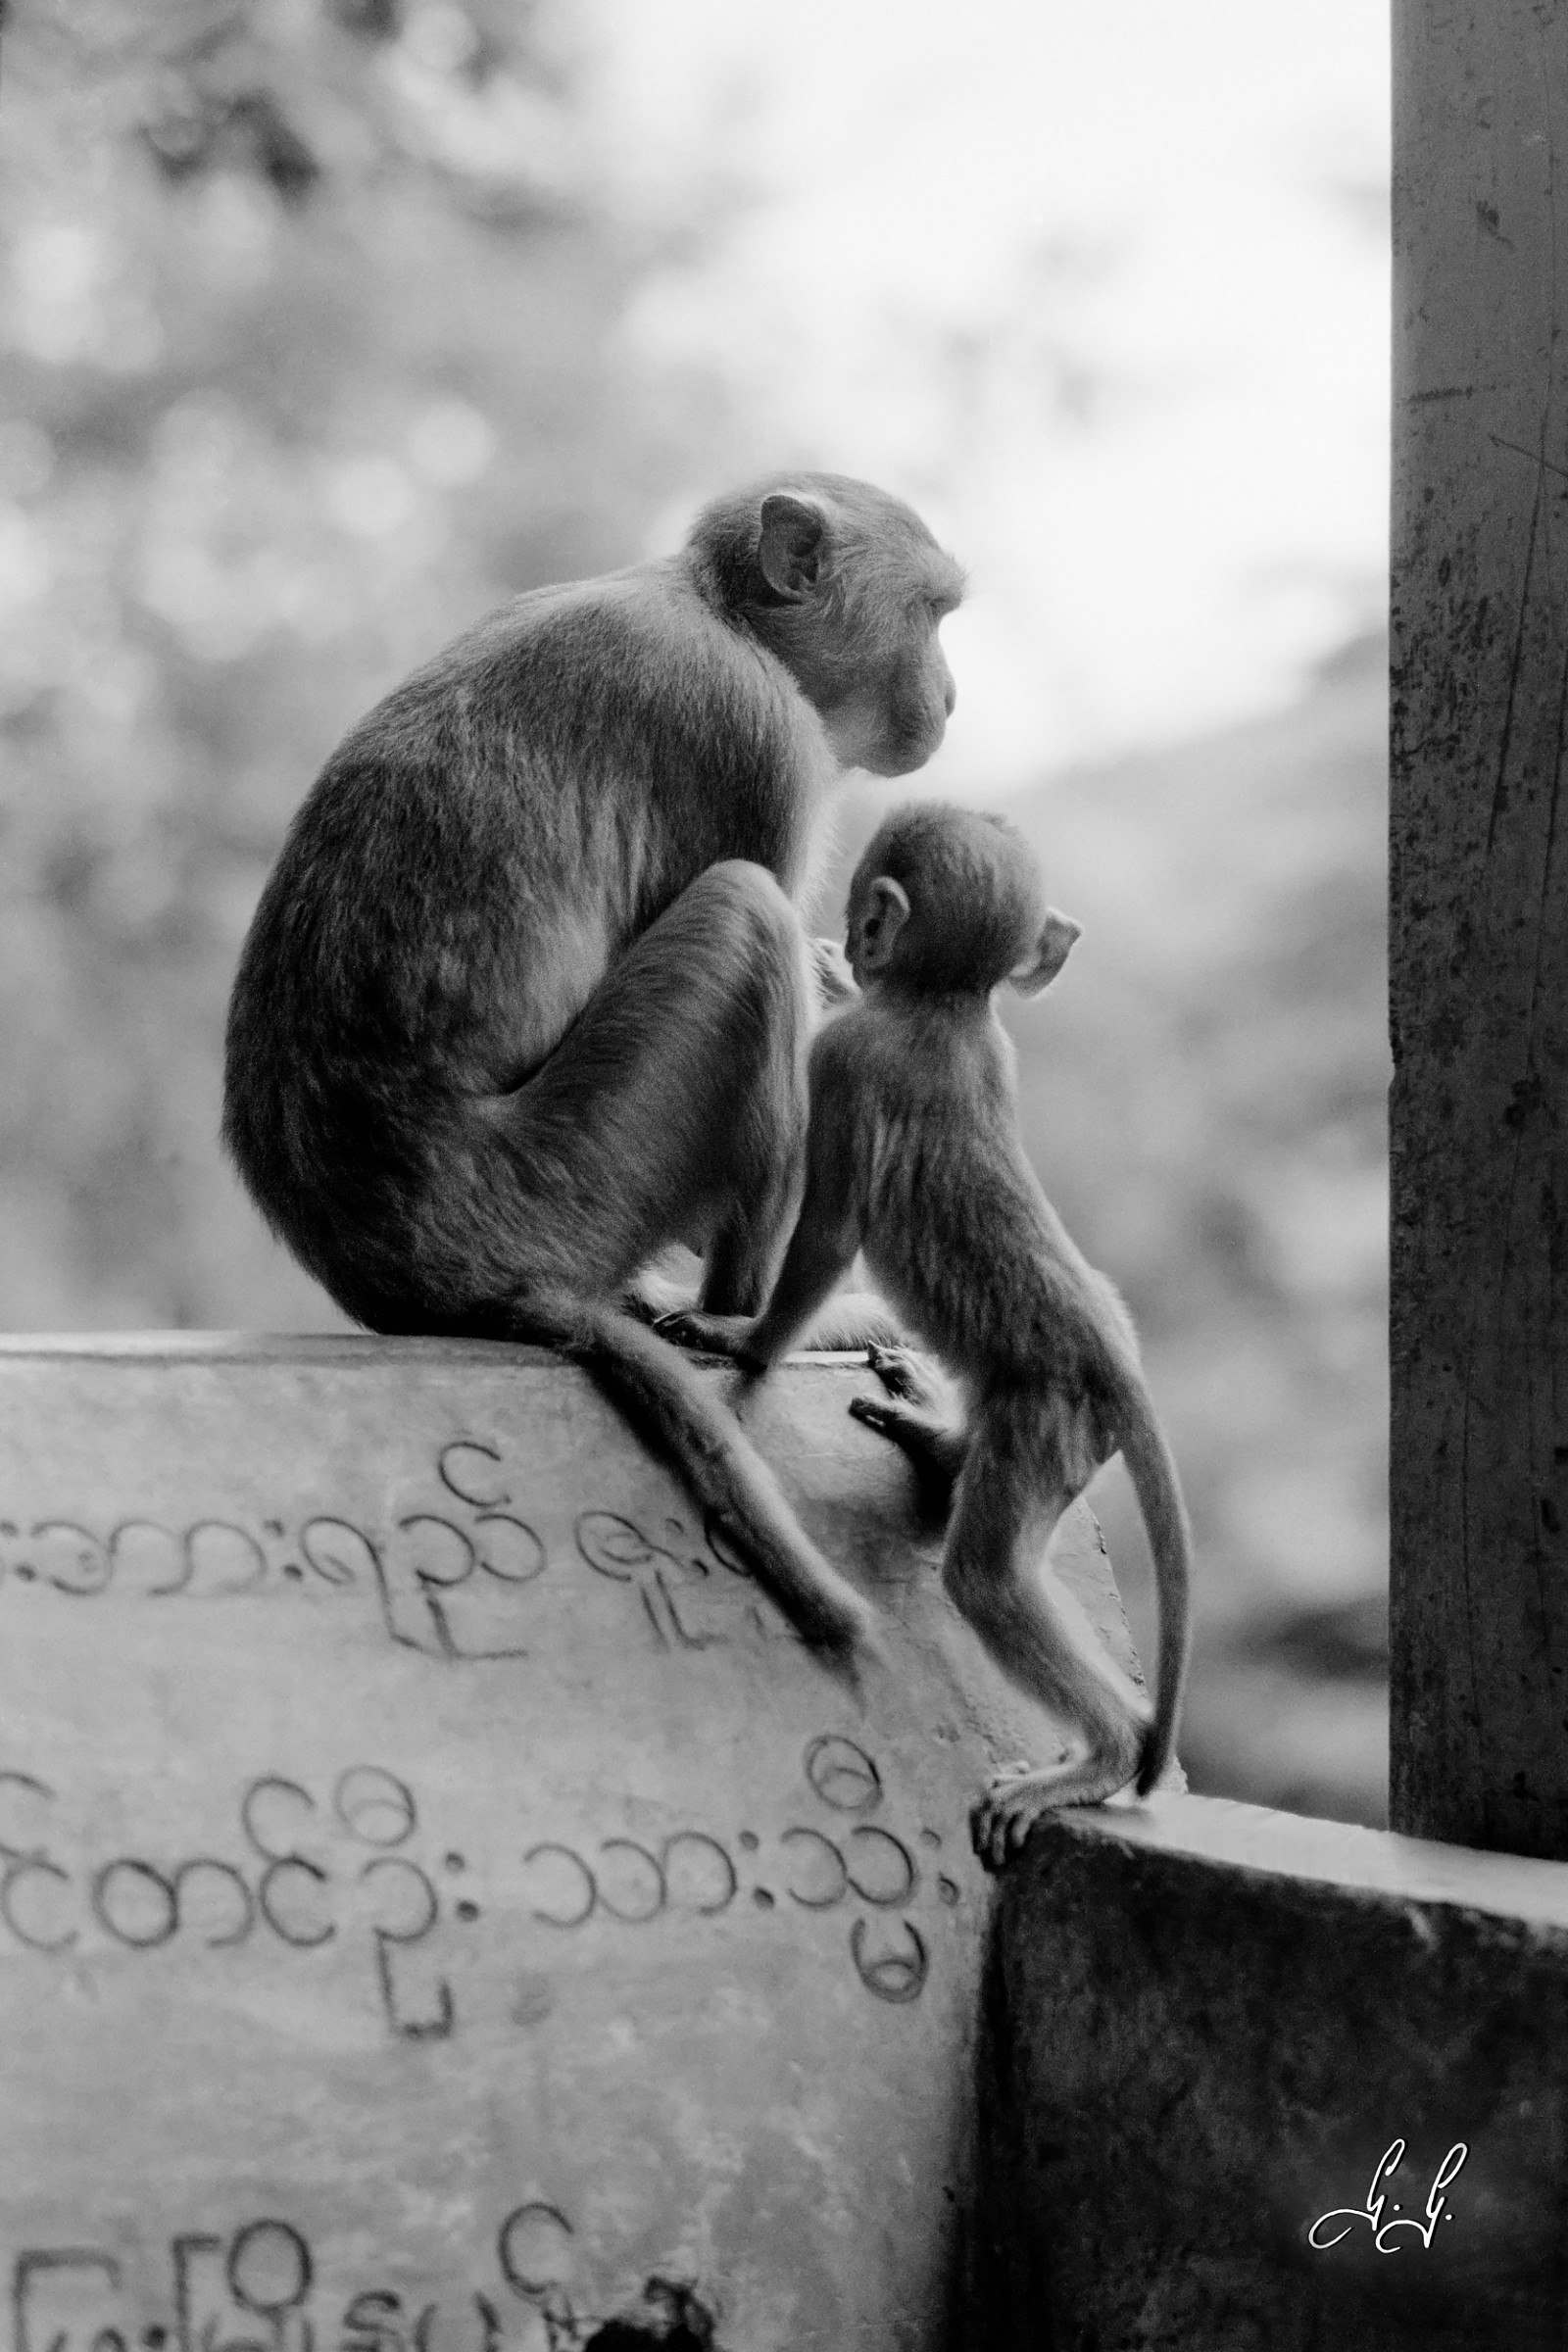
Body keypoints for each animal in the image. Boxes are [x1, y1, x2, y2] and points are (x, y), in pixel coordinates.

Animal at [222, 474, 964, 1667]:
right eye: (933, 614)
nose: (950, 693)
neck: (721, 613)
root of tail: (420, 1274)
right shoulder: (754, 731)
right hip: (577, 1167)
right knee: (744, 910)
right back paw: (745, 1325)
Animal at [678, 802, 1191, 1858]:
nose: (850, 943)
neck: (949, 1007)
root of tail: (1114, 1360)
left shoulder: (848, 1060)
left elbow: (831, 1233)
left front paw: (743, 1340)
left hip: (1049, 1420)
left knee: (987, 1578)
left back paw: (1106, 1757)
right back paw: (940, 1436)